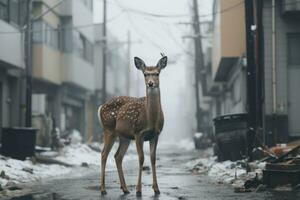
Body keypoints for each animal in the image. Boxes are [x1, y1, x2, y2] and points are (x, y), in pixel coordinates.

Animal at [99, 55, 168, 195]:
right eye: (145, 74)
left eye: (157, 73)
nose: (150, 83)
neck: (150, 119)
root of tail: (101, 107)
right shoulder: (138, 132)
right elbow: (141, 158)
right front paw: (138, 190)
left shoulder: (156, 134)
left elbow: (153, 158)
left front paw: (156, 189)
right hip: (108, 128)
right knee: (104, 154)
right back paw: (103, 189)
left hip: (124, 136)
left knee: (117, 156)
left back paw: (125, 189)